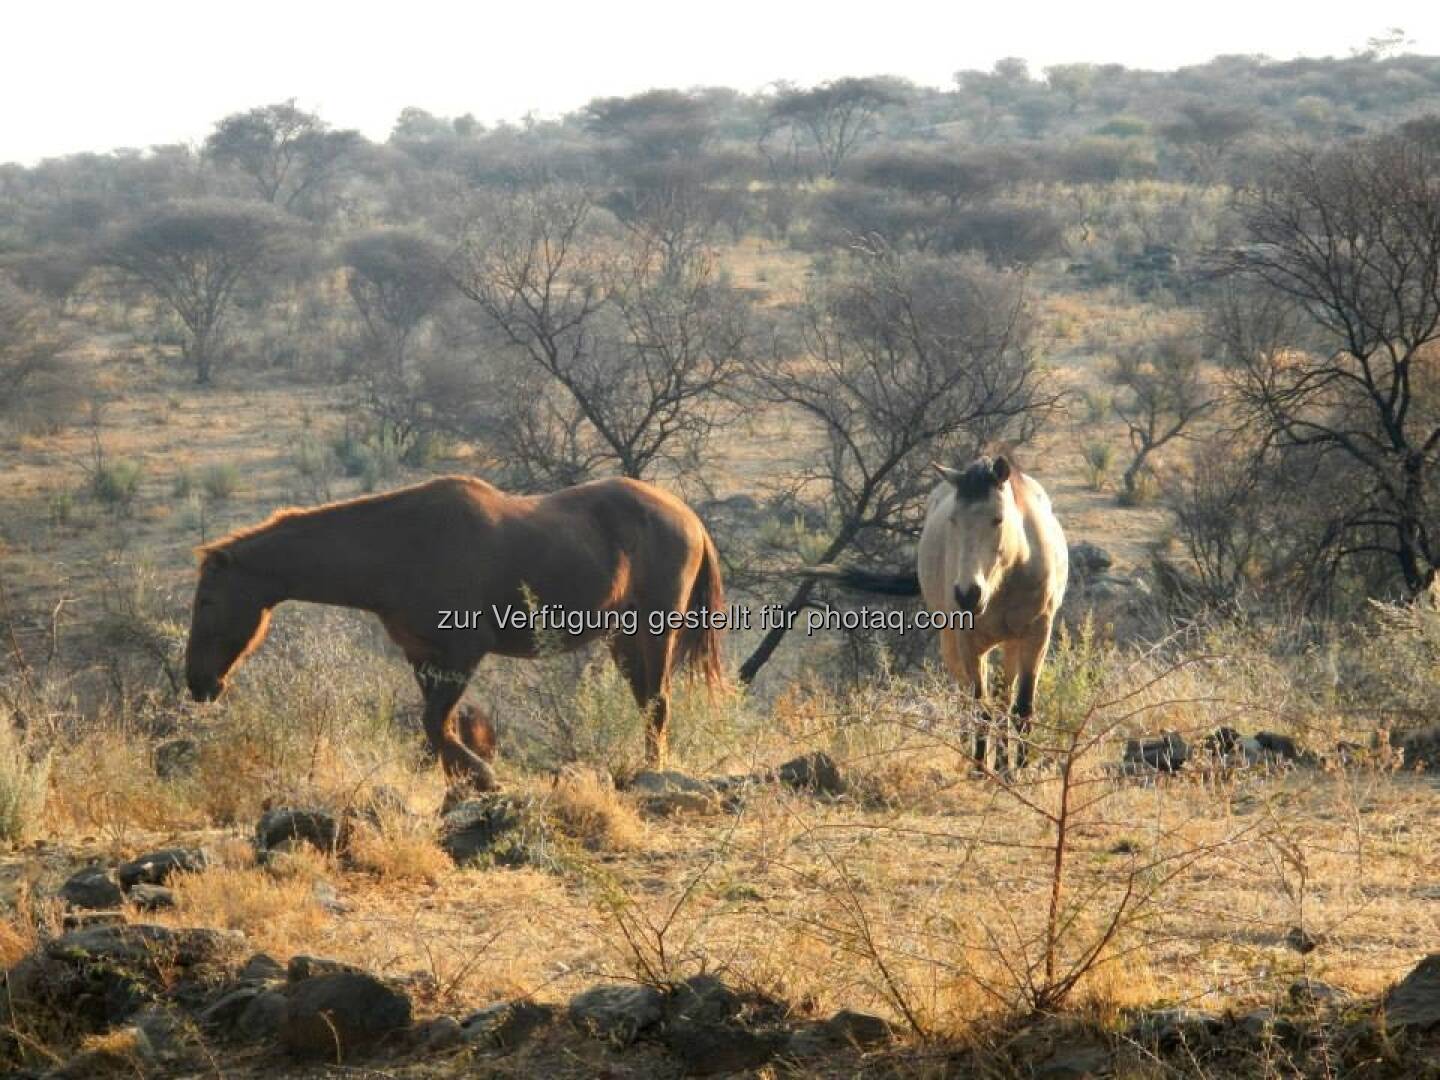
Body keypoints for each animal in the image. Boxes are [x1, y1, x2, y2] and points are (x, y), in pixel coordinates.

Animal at [185, 472, 725, 789]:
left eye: (207, 600)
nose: (198, 683)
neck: (401, 546)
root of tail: (690, 519)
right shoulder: (424, 658)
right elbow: (434, 729)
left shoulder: (463, 652)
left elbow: (436, 725)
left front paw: (483, 776)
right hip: (623, 639)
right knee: (648, 703)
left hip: (652, 632)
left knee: (657, 704)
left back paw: (652, 773)